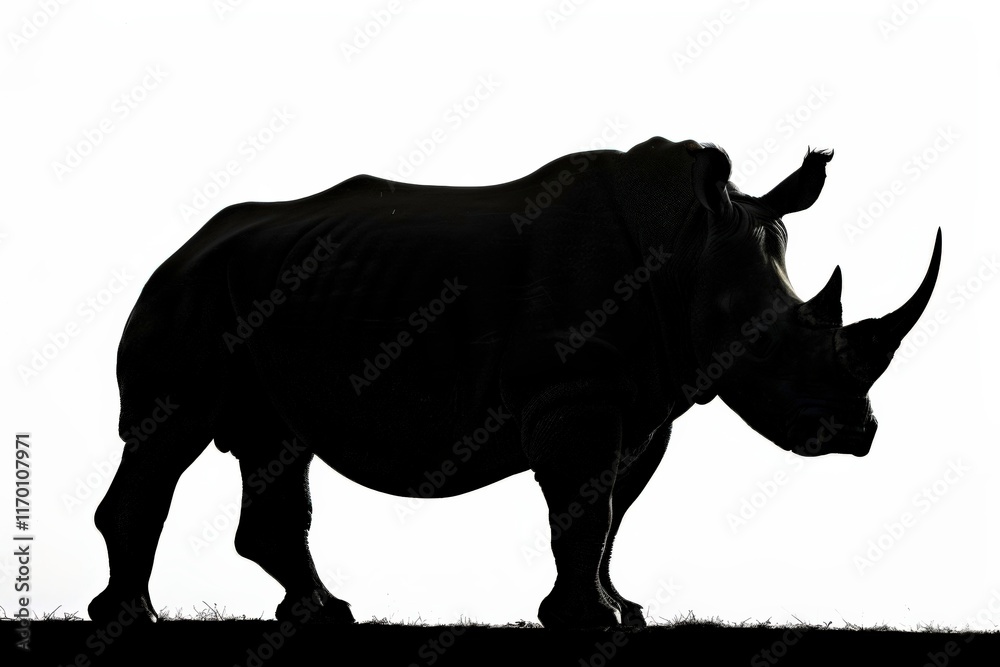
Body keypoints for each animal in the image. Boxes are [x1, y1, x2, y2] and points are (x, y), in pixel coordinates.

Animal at [89, 137, 941, 630]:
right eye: (771, 347)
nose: (858, 434)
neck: (692, 250)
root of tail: (183, 243)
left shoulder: (645, 401)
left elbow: (610, 512)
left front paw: (620, 610)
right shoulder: (575, 393)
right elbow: (584, 508)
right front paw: (588, 621)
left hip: (260, 291)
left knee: (279, 441)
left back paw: (321, 615)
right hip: (189, 295)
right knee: (167, 437)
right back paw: (132, 618)